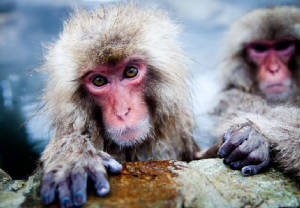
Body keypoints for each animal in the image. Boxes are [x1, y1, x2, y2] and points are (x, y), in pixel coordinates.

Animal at [199, 6, 300, 180]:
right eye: (260, 49)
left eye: (283, 46)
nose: (273, 69)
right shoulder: (230, 97)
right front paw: (255, 137)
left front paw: (255, 137)